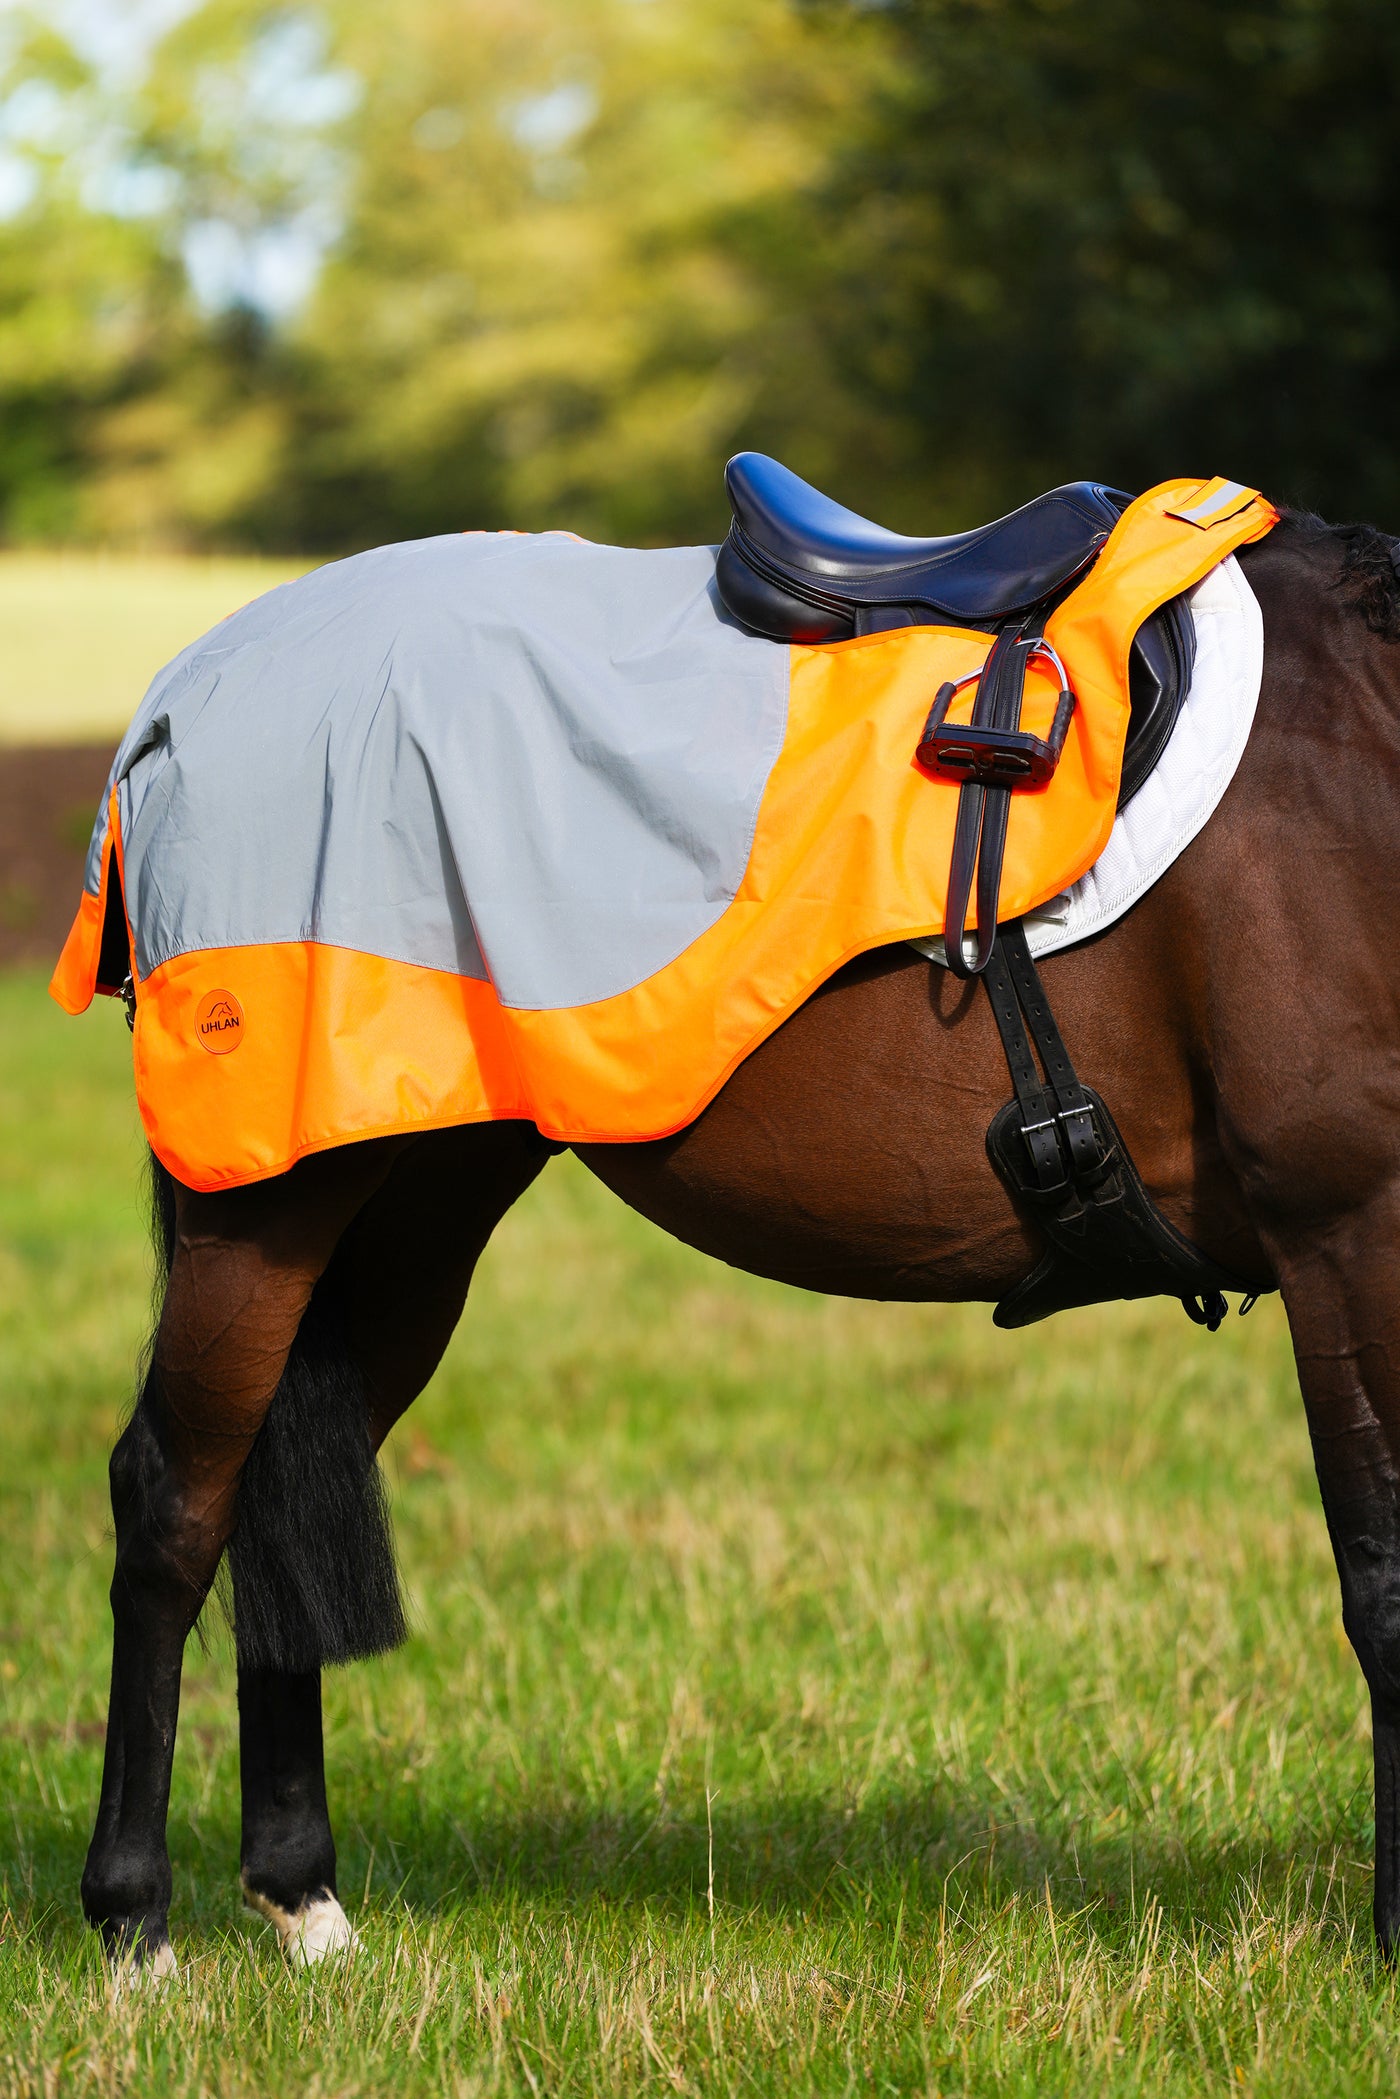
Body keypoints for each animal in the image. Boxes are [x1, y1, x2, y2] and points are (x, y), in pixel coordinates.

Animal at [78, 508, 1400, 1975]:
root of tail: (186, 690)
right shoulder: (1347, 1229)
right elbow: (1385, 1586)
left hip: (415, 1196)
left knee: (282, 1489)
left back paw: (303, 1896)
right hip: (267, 1197)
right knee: (176, 1496)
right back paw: (134, 1920)